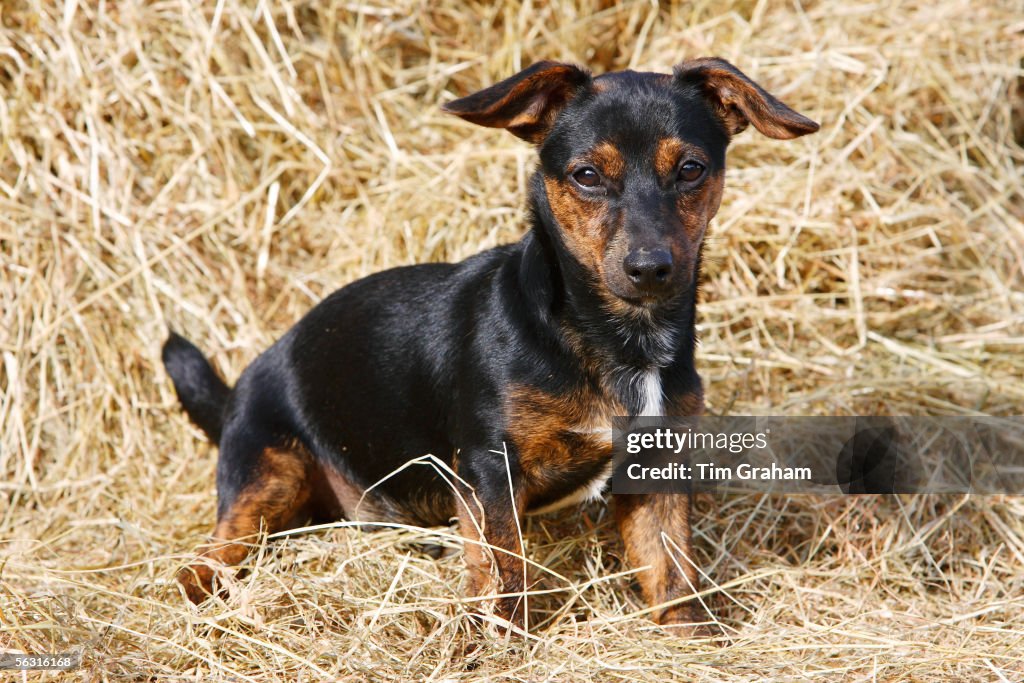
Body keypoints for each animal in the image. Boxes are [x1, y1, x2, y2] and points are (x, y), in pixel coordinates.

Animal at [165, 58, 815, 634]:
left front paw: (691, 637)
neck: (614, 338)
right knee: (209, 557)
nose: (650, 267)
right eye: (586, 175)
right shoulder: (489, 469)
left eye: (691, 169)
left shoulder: (656, 465)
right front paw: (504, 644)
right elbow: (505, 570)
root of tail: (238, 392)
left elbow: (671, 570)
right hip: (267, 475)